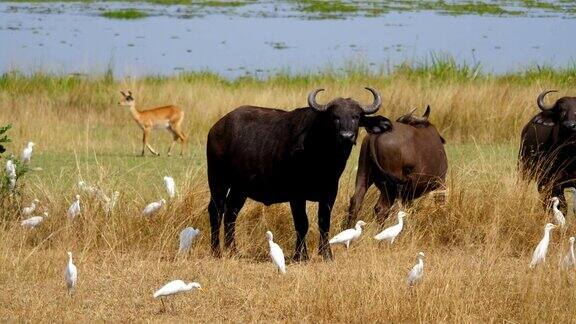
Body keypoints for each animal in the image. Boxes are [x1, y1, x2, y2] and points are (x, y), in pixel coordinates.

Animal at [206, 86, 392, 260]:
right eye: (335, 117)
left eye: (356, 116)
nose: (347, 136)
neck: (323, 160)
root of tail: (216, 128)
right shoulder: (296, 195)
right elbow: (302, 223)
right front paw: (300, 256)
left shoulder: (329, 193)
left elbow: (324, 222)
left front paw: (326, 254)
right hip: (218, 180)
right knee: (216, 210)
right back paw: (216, 251)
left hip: (240, 189)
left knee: (231, 213)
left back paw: (233, 250)